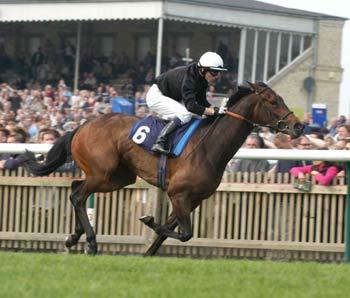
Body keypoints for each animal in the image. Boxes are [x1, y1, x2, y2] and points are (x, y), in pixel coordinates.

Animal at [24, 82, 304, 256]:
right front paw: (148, 220)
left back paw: (74, 237)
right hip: (102, 172)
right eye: (271, 101)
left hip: (117, 177)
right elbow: (185, 233)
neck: (208, 146)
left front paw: (147, 253)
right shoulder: (178, 193)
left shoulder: (193, 198)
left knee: (76, 189)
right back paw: (91, 243)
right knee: (78, 195)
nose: (299, 126)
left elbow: (171, 232)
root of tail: (83, 125)